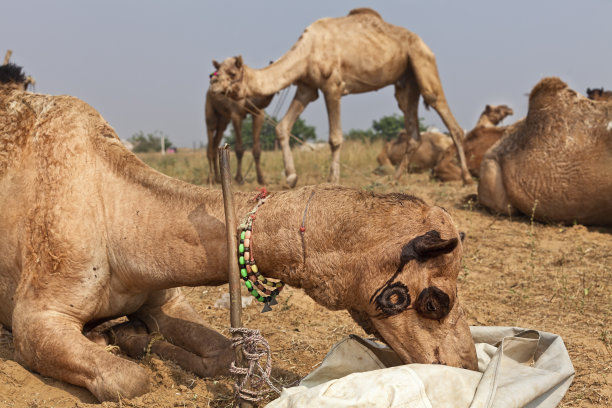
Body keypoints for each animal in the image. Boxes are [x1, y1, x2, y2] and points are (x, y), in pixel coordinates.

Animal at [208, 7, 470, 187]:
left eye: (232, 73)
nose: (212, 84)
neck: (306, 51)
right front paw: (291, 177)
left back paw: (467, 177)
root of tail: (422, 43)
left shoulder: (332, 86)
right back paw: (394, 179)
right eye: (218, 72)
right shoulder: (307, 88)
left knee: (441, 107)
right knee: (411, 124)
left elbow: (335, 137)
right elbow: (283, 127)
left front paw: (332, 179)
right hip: (406, 80)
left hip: (422, 59)